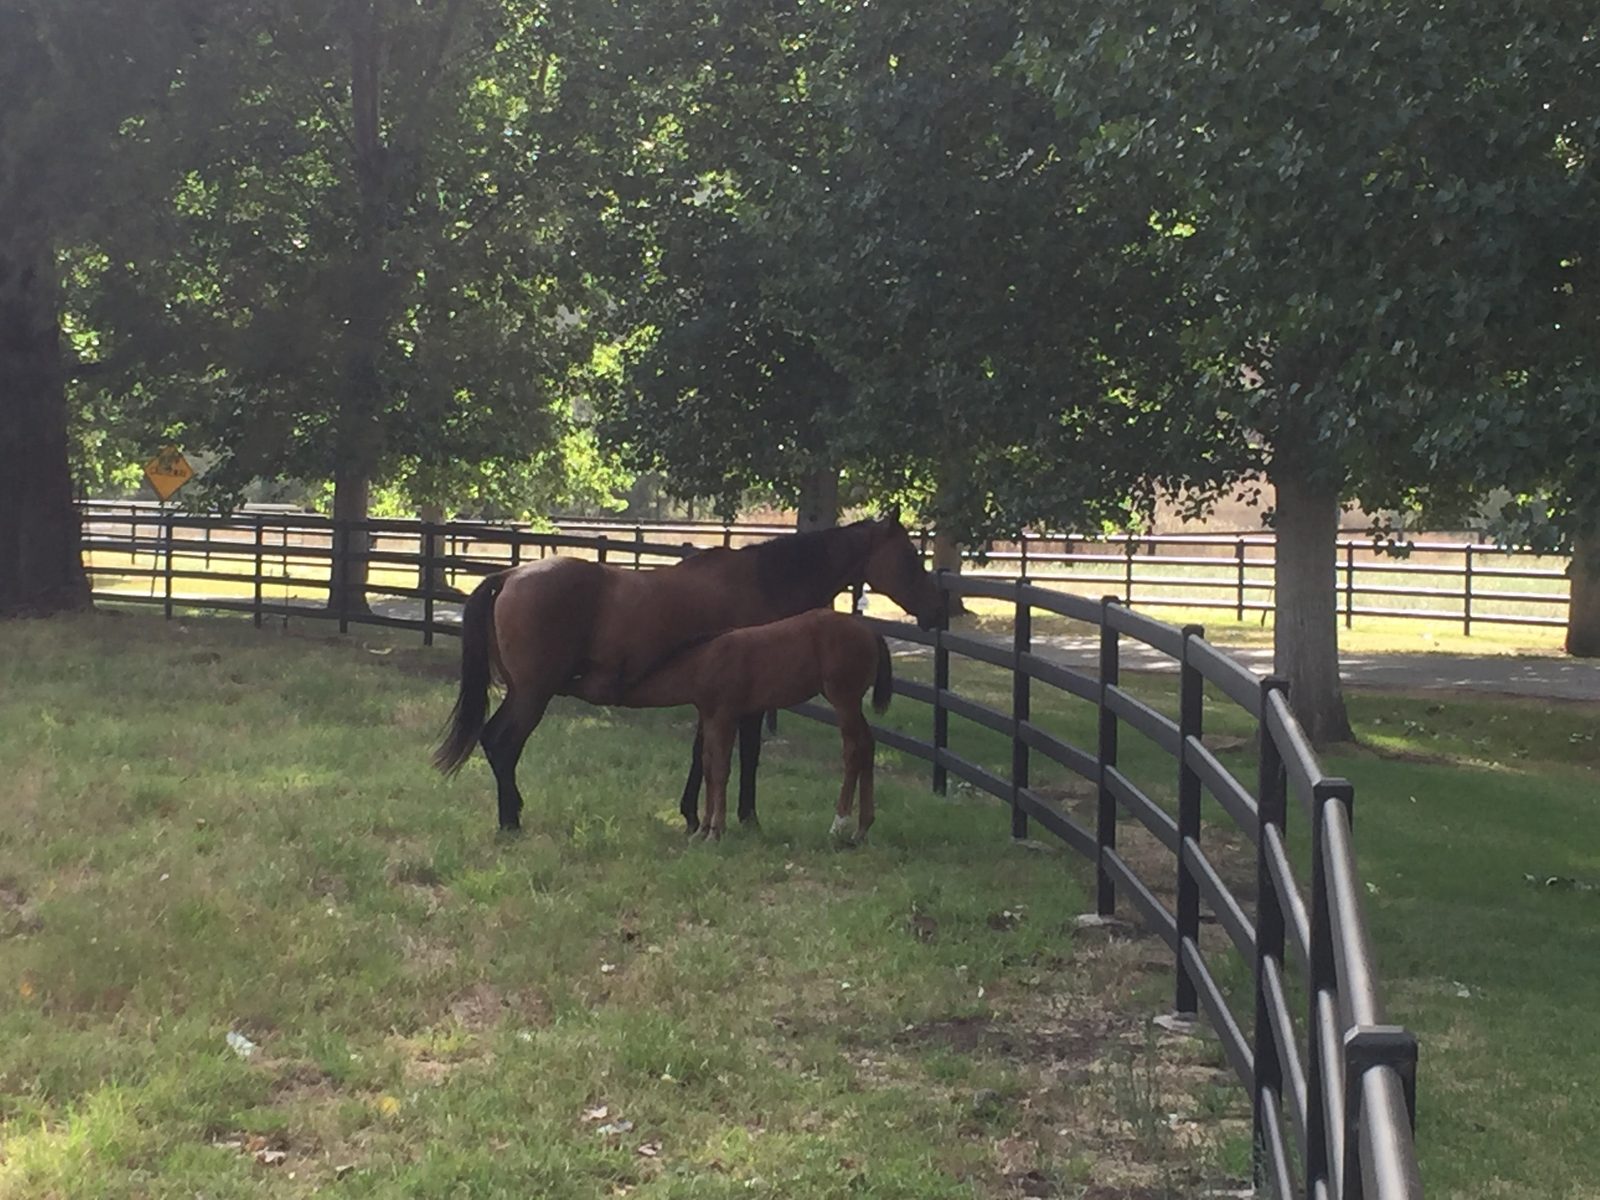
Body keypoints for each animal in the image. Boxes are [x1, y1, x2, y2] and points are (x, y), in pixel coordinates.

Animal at [625, 609, 893, 843]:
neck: (706, 661)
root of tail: (871, 632)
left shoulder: (725, 716)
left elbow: (720, 770)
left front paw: (715, 832)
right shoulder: (710, 717)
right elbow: (709, 767)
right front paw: (702, 830)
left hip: (844, 700)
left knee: (854, 750)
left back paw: (839, 825)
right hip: (851, 704)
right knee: (868, 745)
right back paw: (861, 829)